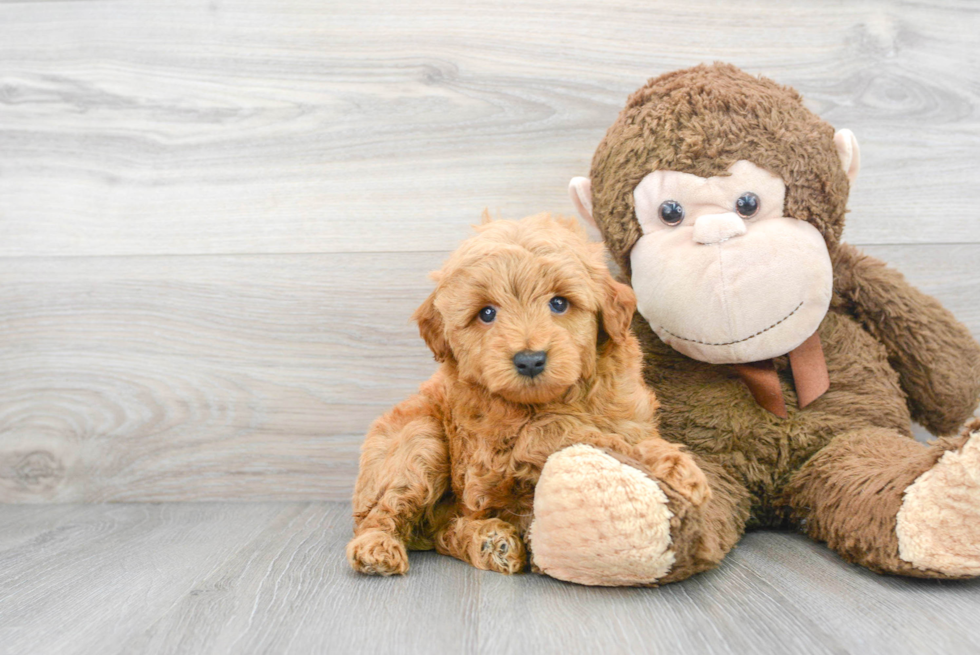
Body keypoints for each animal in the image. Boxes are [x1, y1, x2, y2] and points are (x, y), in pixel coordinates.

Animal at [348, 213, 708, 576]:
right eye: (487, 313)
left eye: (559, 303)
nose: (530, 360)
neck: (554, 399)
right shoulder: (494, 451)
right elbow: (562, 429)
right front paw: (673, 465)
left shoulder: (628, 410)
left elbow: (620, 432)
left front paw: (664, 456)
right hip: (418, 443)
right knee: (383, 511)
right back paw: (377, 547)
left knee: (444, 532)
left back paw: (490, 543)